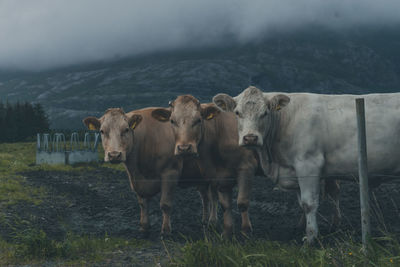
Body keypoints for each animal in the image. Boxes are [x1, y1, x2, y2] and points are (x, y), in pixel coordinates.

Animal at [82, 108, 216, 238]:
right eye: (102, 131)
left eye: (126, 129)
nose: (114, 155)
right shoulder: (137, 180)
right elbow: (143, 204)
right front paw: (144, 227)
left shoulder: (170, 172)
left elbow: (165, 204)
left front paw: (166, 231)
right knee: (205, 197)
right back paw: (205, 221)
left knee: (213, 198)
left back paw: (212, 222)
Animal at [152, 96, 258, 239]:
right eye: (172, 121)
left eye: (198, 120)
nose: (184, 148)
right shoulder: (218, 176)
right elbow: (224, 204)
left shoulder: (246, 168)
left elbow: (242, 202)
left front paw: (246, 231)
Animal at [214, 86, 400, 245]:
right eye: (237, 113)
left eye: (265, 113)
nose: (250, 138)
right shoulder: (295, 172)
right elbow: (301, 203)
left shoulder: (308, 165)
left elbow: (309, 203)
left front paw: (310, 238)